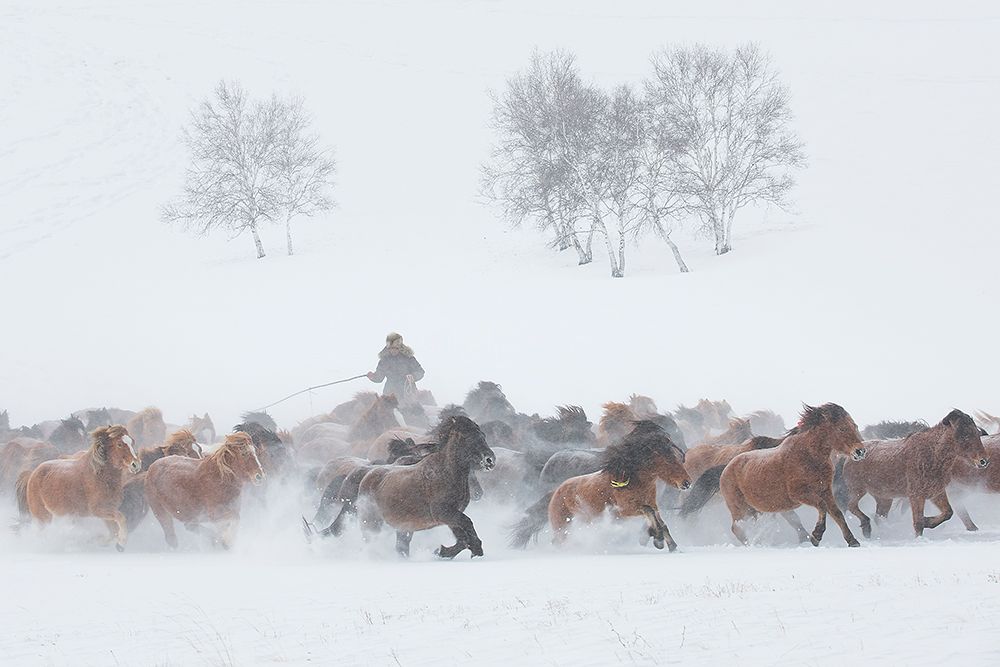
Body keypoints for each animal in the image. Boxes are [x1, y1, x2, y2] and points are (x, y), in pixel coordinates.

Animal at [354, 418, 494, 560]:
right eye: (467, 437)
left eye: (483, 435)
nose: (489, 460)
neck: (445, 473)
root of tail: (367, 476)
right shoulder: (443, 513)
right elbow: (467, 524)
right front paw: (476, 550)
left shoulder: (452, 516)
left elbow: (463, 539)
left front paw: (442, 551)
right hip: (372, 522)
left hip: (403, 527)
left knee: (401, 547)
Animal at [512, 422, 692, 552]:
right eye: (668, 461)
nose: (687, 482)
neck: (631, 480)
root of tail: (556, 491)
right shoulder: (623, 511)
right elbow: (649, 512)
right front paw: (658, 539)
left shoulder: (653, 504)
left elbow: (660, 520)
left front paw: (671, 545)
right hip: (562, 525)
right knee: (558, 540)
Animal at [720, 404, 868, 552]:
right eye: (842, 428)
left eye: (855, 426)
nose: (860, 451)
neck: (809, 456)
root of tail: (727, 468)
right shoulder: (799, 494)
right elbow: (822, 506)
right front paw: (816, 536)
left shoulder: (826, 491)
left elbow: (837, 513)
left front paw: (853, 541)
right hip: (739, 508)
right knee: (736, 528)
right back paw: (751, 544)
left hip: (754, 510)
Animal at [840, 410, 988, 540]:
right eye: (964, 435)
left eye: (977, 433)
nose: (983, 461)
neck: (933, 454)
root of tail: (850, 456)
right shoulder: (916, 495)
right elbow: (918, 523)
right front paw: (920, 536)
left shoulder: (936, 493)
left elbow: (948, 512)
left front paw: (928, 521)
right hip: (858, 490)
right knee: (852, 506)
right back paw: (866, 527)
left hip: (884, 498)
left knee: (878, 516)